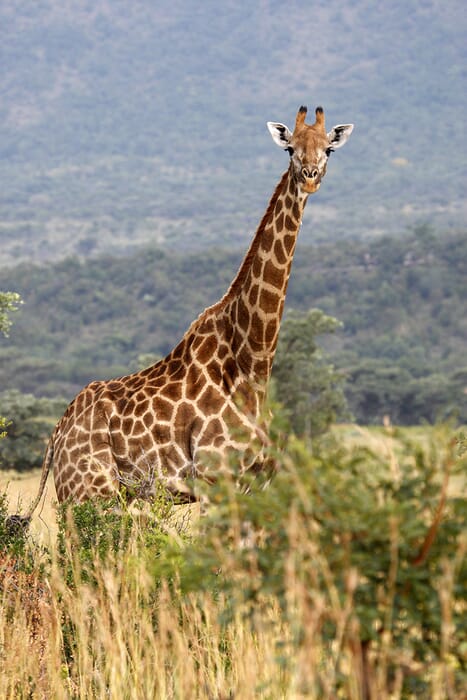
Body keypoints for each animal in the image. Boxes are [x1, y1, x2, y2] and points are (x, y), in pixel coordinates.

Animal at [14, 102, 352, 520]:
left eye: (329, 149)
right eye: (290, 148)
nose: (310, 177)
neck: (254, 362)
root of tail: (57, 432)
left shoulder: (258, 482)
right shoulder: (214, 477)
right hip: (87, 491)